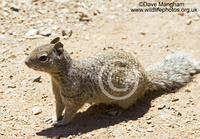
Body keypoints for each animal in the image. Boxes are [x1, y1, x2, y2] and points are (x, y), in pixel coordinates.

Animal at [25, 37, 200, 126]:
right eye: (34, 47)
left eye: (43, 57)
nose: (25, 62)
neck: (59, 76)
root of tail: (147, 79)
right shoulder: (59, 96)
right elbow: (58, 108)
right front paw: (54, 118)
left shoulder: (75, 97)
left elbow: (69, 113)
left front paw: (61, 123)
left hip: (125, 95)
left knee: (126, 106)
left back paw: (116, 110)